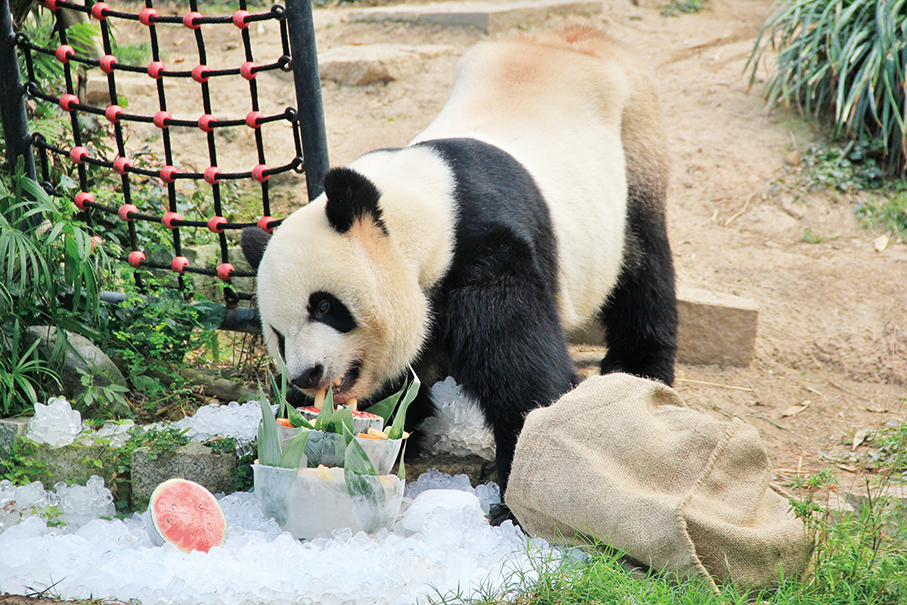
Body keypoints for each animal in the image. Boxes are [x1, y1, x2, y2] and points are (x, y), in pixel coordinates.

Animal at [241, 26, 677, 522]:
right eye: (278, 335)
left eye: (326, 306)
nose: (306, 375)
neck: (425, 209)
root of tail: (578, 37)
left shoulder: (484, 254)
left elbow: (522, 374)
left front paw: (519, 500)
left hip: (635, 141)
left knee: (643, 265)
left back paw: (638, 369)